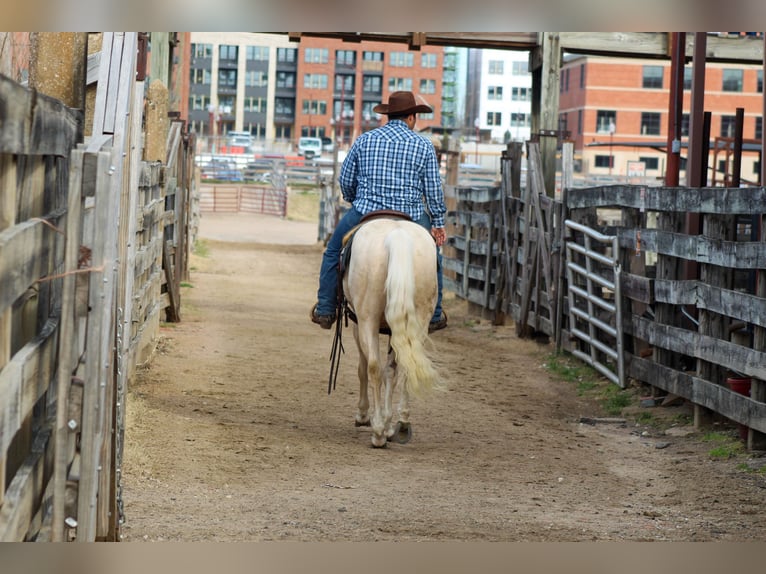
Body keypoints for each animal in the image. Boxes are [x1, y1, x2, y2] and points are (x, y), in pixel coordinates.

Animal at [344, 217, 444, 450]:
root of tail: (397, 235)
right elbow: (392, 370)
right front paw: (390, 424)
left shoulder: (357, 324)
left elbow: (363, 367)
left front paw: (364, 415)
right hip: (418, 321)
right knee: (407, 366)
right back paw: (402, 425)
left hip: (368, 320)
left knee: (373, 367)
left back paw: (378, 432)